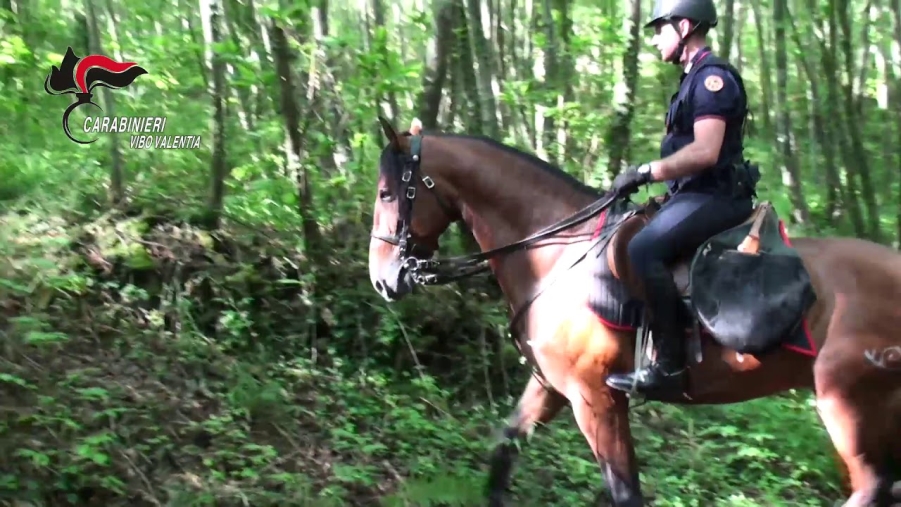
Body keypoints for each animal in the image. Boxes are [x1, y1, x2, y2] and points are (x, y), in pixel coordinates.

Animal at [366, 116, 900, 507]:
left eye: (387, 193)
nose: (382, 279)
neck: (556, 254)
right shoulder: (550, 387)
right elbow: (505, 448)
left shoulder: (595, 399)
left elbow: (625, 492)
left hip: (846, 401)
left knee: (871, 486)